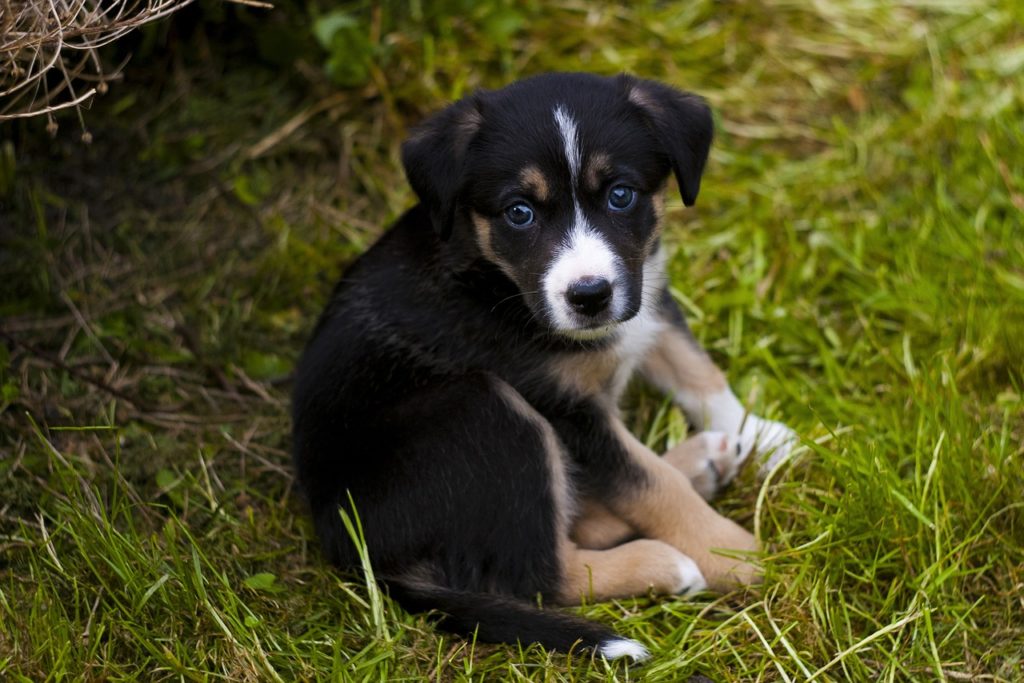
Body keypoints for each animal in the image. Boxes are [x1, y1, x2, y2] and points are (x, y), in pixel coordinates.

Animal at [292, 72, 794, 659]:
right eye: (519, 212)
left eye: (620, 196)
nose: (590, 296)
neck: (497, 281)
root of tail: (357, 554)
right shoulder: (566, 408)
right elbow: (648, 482)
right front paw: (735, 556)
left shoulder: (646, 295)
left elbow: (695, 370)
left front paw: (762, 436)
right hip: (484, 409)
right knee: (540, 574)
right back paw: (665, 562)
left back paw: (703, 461)